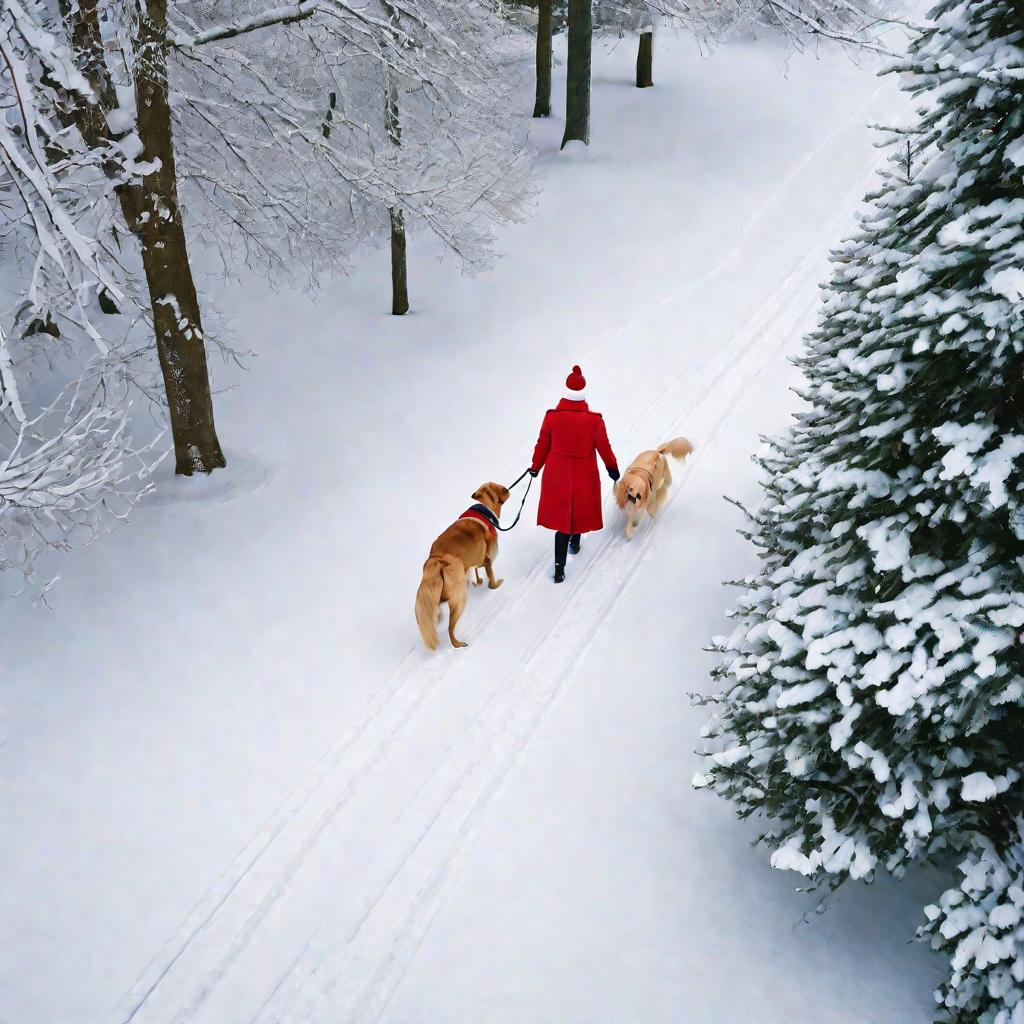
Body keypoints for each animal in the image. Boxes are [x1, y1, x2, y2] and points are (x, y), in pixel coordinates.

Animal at [413, 479, 509, 647]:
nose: (508, 490)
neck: (484, 509)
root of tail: (436, 559)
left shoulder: (473, 560)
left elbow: (476, 571)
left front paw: (478, 581)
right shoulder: (488, 557)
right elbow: (491, 578)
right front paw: (495, 585)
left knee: (439, 610)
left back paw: (439, 618)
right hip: (459, 598)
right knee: (451, 628)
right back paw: (458, 644)